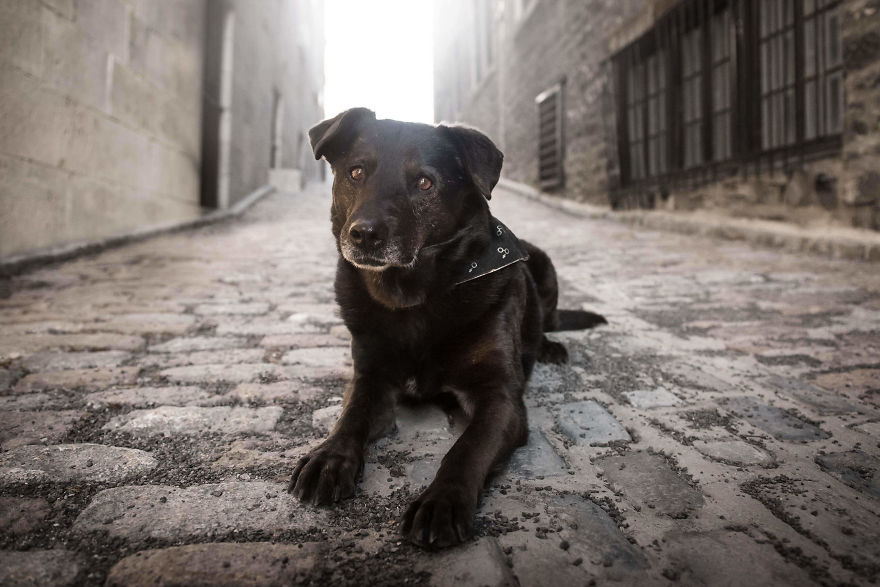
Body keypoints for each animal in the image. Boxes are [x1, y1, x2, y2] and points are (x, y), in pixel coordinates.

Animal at [288, 108, 604, 548]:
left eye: (424, 182)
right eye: (356, 173)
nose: (364, 234)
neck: (413, 298)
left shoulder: (500, 397)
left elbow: (467, 449)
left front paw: (441, 501)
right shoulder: (370, 376)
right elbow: (350, 415)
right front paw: (329, 457)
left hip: (543, 262)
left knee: (548, 321)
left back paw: (549, 347)